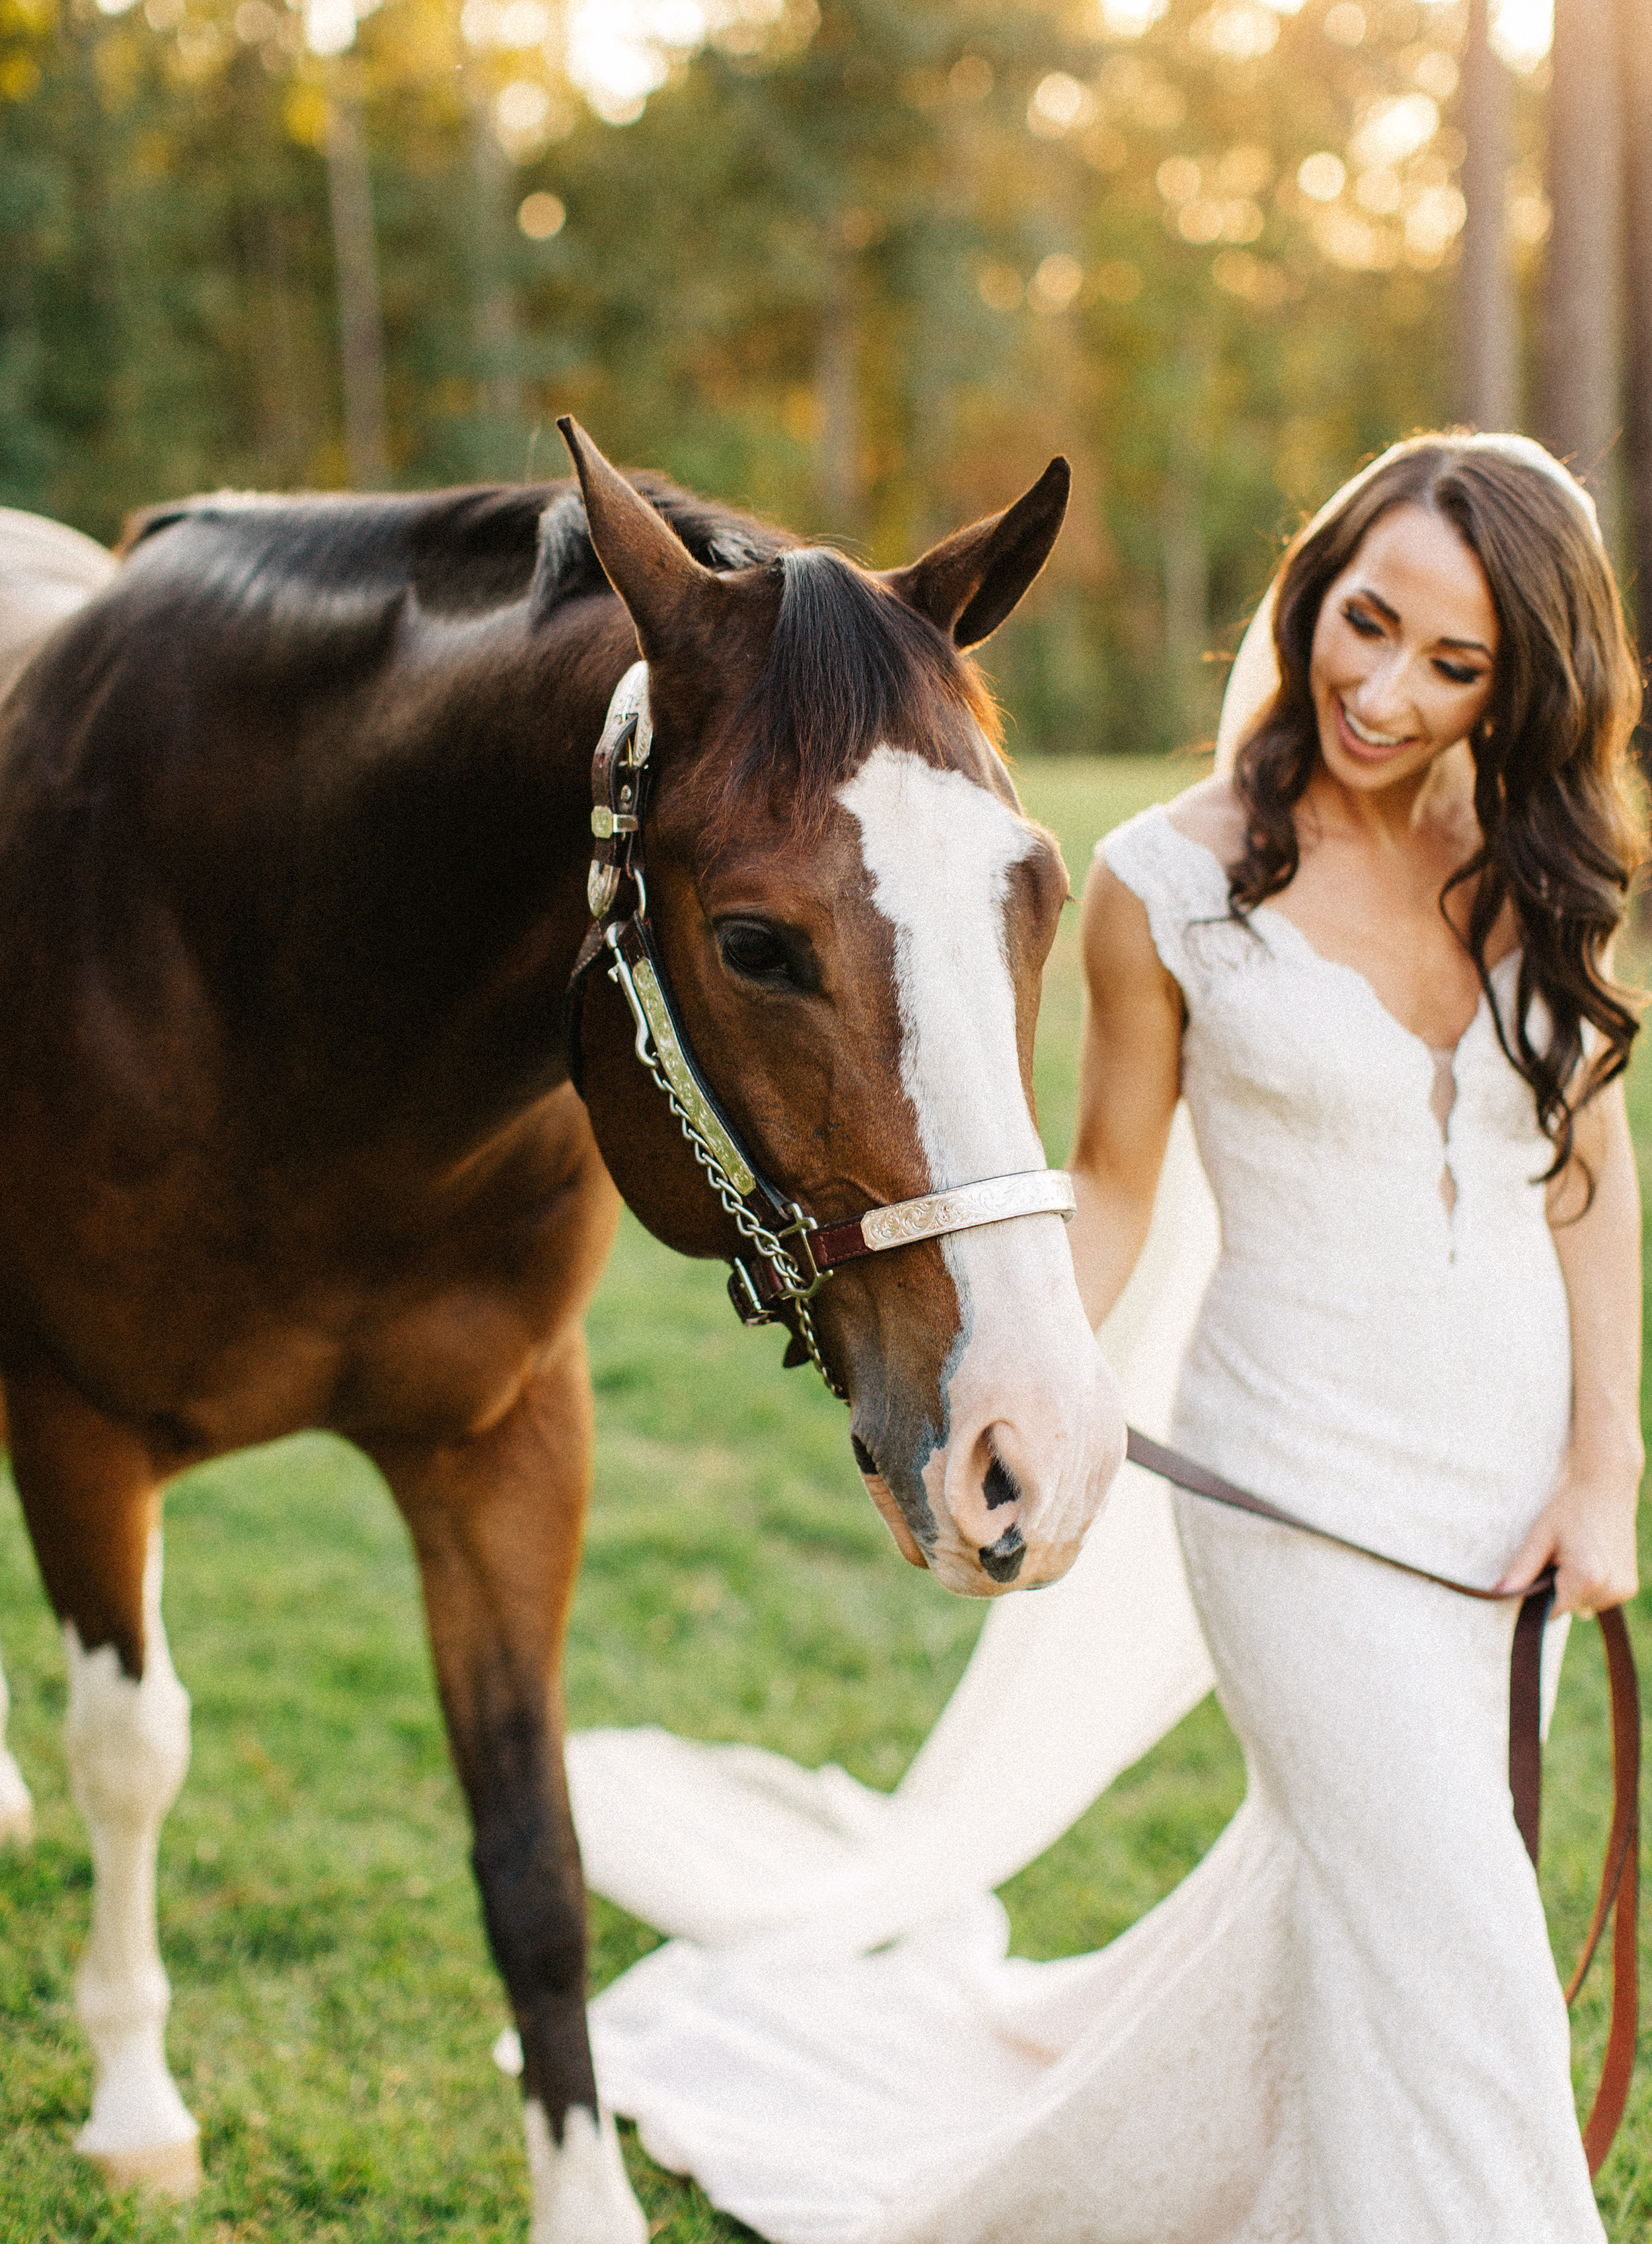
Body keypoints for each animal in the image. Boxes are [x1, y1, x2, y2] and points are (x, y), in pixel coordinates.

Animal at [0, 428, 1122, 2235]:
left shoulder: (508, 1447)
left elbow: (537, 1855)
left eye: (1035, 895)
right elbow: (132, 1753)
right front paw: (135, 2103)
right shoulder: (77, 1429)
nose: (1040, 1449)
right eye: (754, 944)